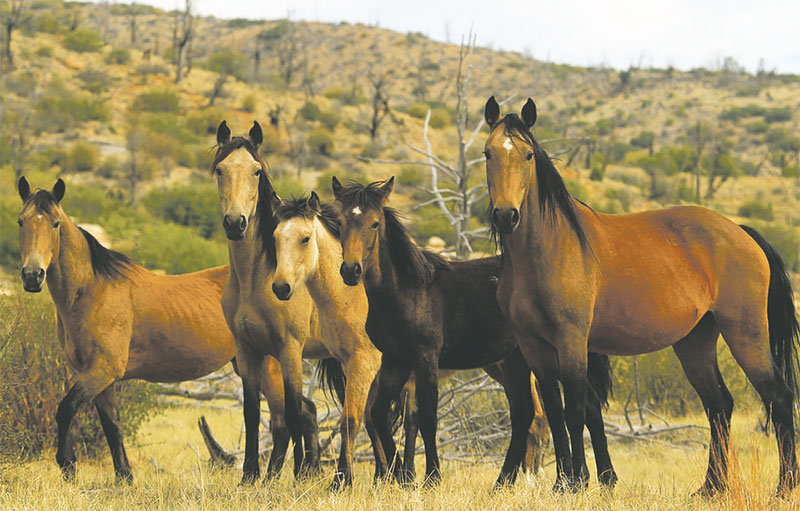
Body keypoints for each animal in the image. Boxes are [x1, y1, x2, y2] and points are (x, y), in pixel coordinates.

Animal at [14, 179, 288, 484]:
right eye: (21, 221)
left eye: (55, 223)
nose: (32, 276)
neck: (93, 291)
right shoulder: (98, 376)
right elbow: (112, 427)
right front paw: (124, 478)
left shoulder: (102, 369)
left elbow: (65, 409)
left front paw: (68, 466)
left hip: (271, 366)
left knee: (282, 422)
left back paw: (270, 479)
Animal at [209, 121, 384, 488]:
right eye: (220, 170)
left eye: (257, 171)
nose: (235, 223)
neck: (254, 278)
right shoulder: (248, 350)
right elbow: (252, 413)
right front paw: (250, 476)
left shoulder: (289, 348)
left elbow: (292, 412)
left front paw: (300, 473)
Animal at [328, 178, 616, 490]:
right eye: (341, 223)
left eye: (374, 223)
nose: (351, 270)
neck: (408, 290)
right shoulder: (396, 361)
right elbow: (379, 415)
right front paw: (401, 477)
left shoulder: (425, 359)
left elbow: (427, 418)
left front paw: (431, 478)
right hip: (512, 363)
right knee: (527, 414)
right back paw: (505, 482)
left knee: (585, 408)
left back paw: (600, 478)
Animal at [482, 96, 800, 496]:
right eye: (488, 153)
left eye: (527, 155)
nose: (505, 216)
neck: (548, 250)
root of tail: (740, 232)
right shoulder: (534, 347)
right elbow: (554, 413)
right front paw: (562, 483)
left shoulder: (571, 342)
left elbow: (575, 410)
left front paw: (579, 481)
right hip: (695, 342)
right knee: (719, 405)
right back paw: (711, 488)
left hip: (746, 334)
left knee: (778, 398)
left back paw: (784, 487)